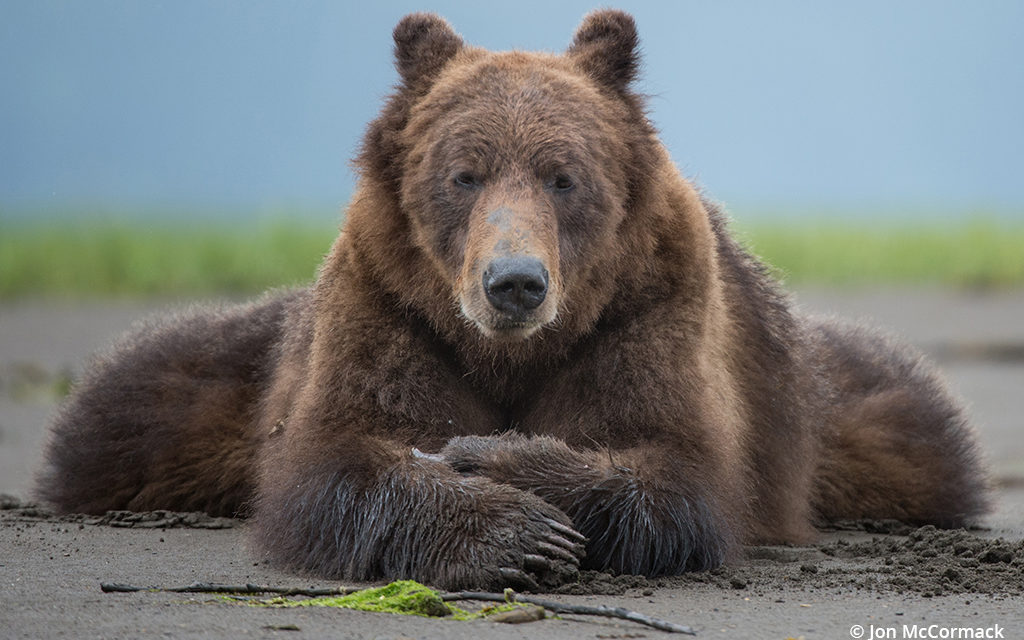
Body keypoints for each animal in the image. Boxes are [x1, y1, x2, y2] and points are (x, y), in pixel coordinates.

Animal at [36, 9, 987, 589]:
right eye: (465, 172)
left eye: (564, 176)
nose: (516, 282)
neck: (507, 350)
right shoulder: (391, 307)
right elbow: (336, 453)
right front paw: (513, 536)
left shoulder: (650, 312)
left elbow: (673, 466)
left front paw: (496, 459)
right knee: (131, 406)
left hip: (833, 404)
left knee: (911, 425)